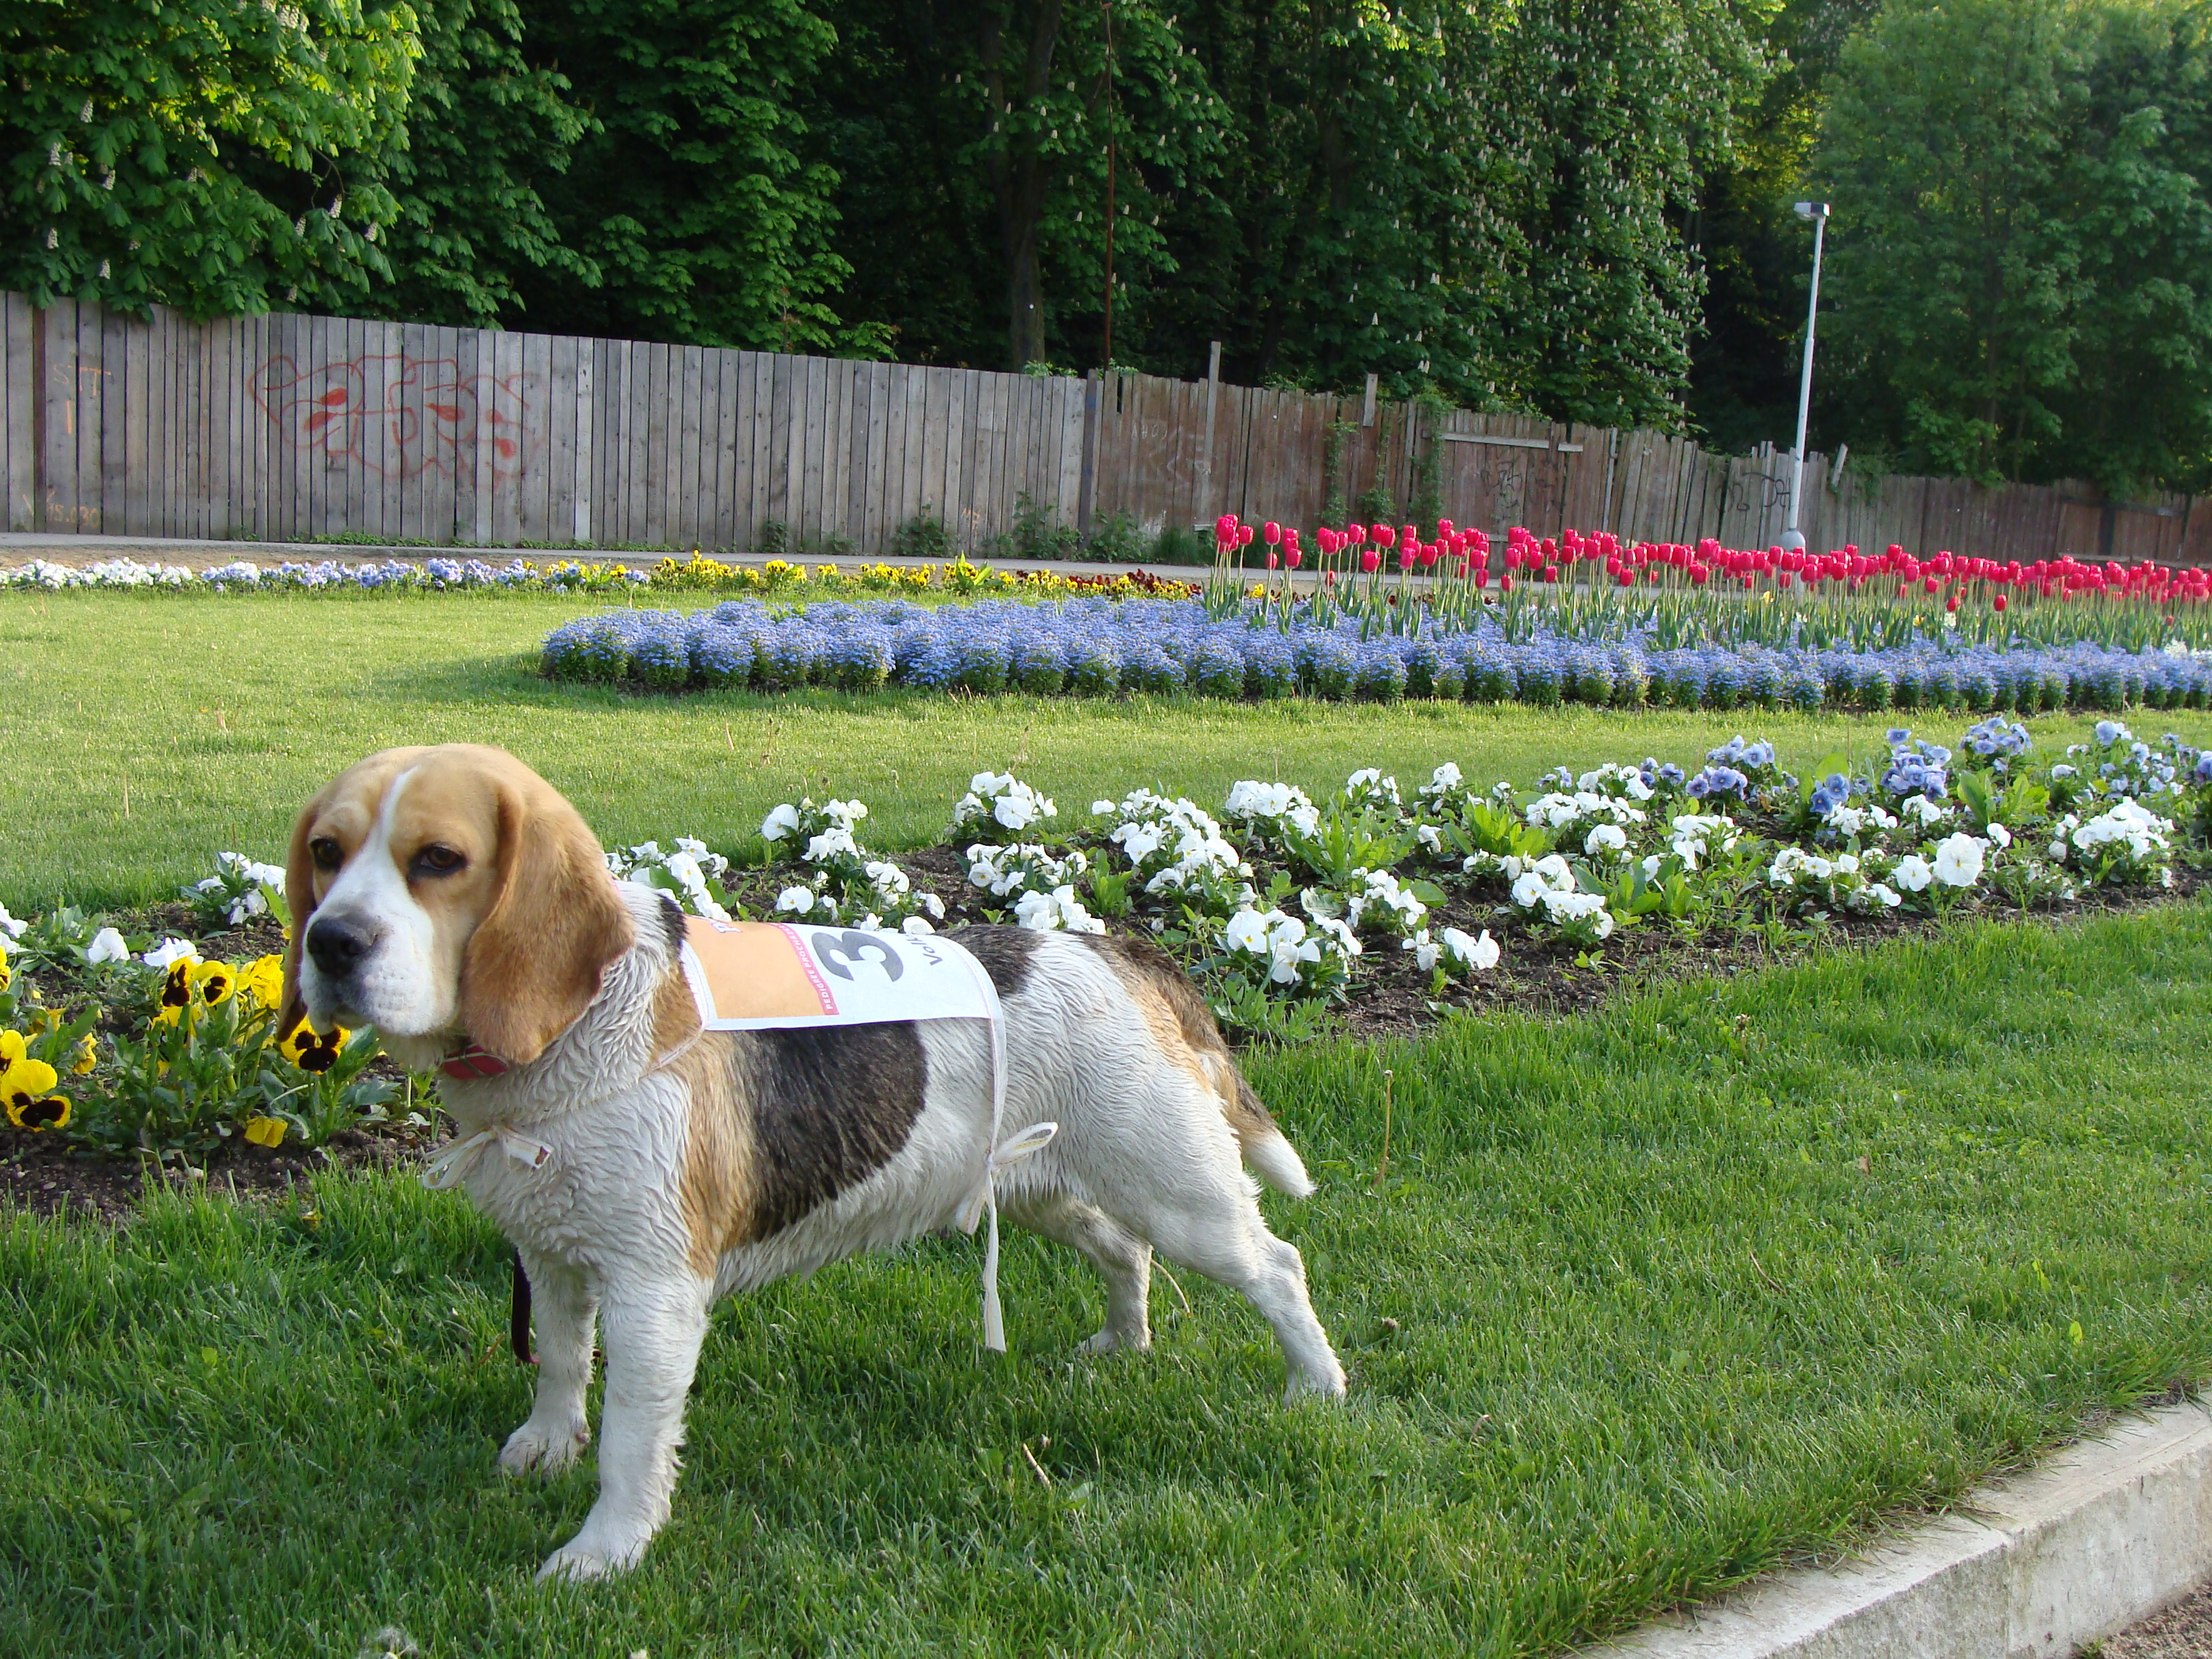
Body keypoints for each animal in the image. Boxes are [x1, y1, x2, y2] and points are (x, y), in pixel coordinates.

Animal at [281, 743, 1345, 1584]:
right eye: (326, 853)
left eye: (439, 861)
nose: (329, 944)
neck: (577, 1025)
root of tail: (1125, 954)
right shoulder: (550, 1254)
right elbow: (560, 1363)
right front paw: (545, 1447)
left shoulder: (655, 1292)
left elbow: (629, 1438)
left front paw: (604, 1554)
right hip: (1041, 1186)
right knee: (1127, 1254)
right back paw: (1122, 1347)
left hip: (1184, 1194)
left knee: (1278, 1267)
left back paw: (1317, 1391)